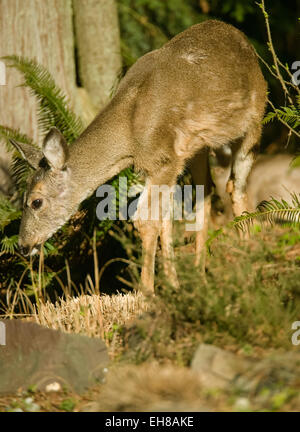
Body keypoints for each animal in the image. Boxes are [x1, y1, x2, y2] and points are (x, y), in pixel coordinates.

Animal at [9, 20, 268, 294]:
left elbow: (145, 218)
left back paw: (250, 268)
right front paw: (172, 285)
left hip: (254, 120)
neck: (130, 136)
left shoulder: (164, 160)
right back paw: (200, 276)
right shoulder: (159, 164)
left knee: (235, 186)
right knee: (204, 194)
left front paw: (147, 292)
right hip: (197, 148)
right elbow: (164, 217)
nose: (23, 245)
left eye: (36, 201)